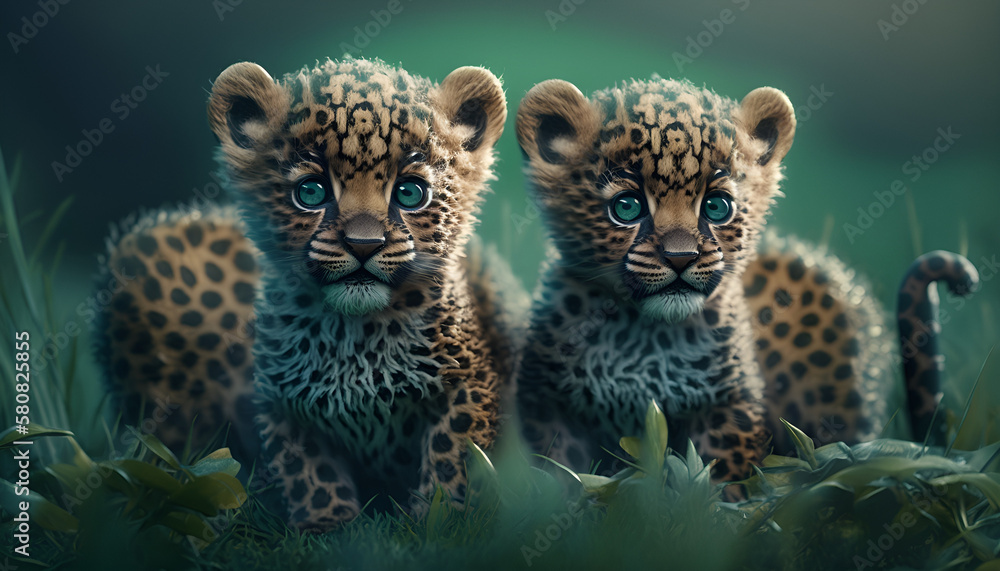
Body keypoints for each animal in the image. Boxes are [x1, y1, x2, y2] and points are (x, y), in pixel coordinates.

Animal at [93, 56, 520, 531]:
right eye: (311, 192)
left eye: (410, 192)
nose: (364, 245)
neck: (356, 340)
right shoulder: (281, 403)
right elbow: (307, 471)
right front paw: (328, 525)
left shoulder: (470, 384)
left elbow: (454, 458)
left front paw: (440, 521)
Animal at [512, 76, 979, 492]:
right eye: (626, 207)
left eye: (717, 207)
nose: (680, 258)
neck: (645, 336)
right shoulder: (548, 404)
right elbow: (560, 474)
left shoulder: (728, 407)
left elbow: (721, 482)